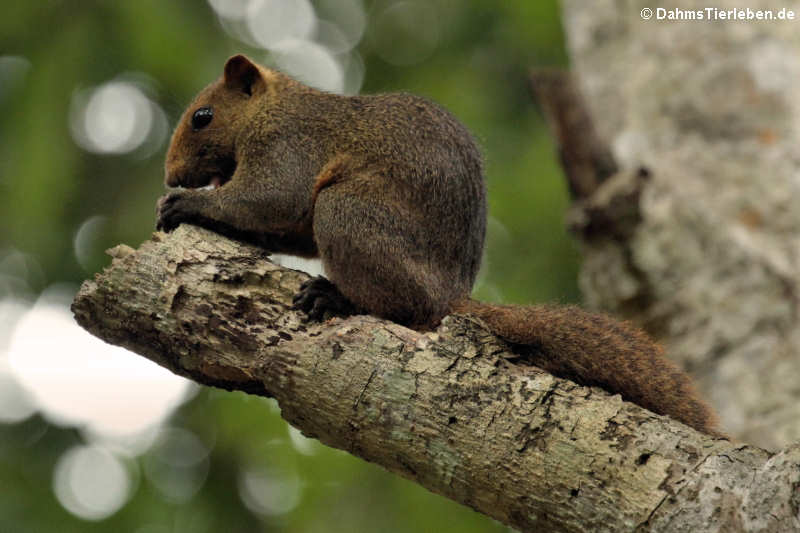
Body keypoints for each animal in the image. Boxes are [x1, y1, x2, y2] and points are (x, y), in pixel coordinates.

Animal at [156, 54, 720, 436]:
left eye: (203, 116)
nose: (172, 176)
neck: (274, 107)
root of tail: (451, 296)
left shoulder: (289, 146)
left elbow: (272, 200)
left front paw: (188, 205)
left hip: (349, 214)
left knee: (408, 308)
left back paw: (335, 296)